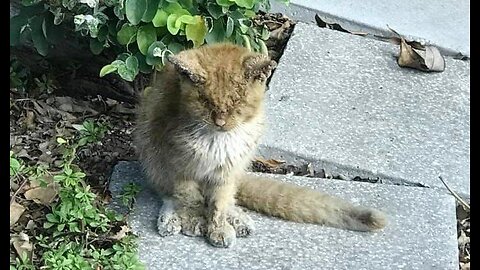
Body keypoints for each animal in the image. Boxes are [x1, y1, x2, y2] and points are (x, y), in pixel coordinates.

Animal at [133, 41, 388, 247]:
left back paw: (237, 218)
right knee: (166, 193)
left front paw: (219, 227)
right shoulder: (178, 167)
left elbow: (219, 203)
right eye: (205, 101)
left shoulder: (226, 171)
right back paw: (172, 217)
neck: (218, 141)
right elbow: (189, 198)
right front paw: (195, 219)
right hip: (150, 154)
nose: (220, 121)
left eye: (237, 101)